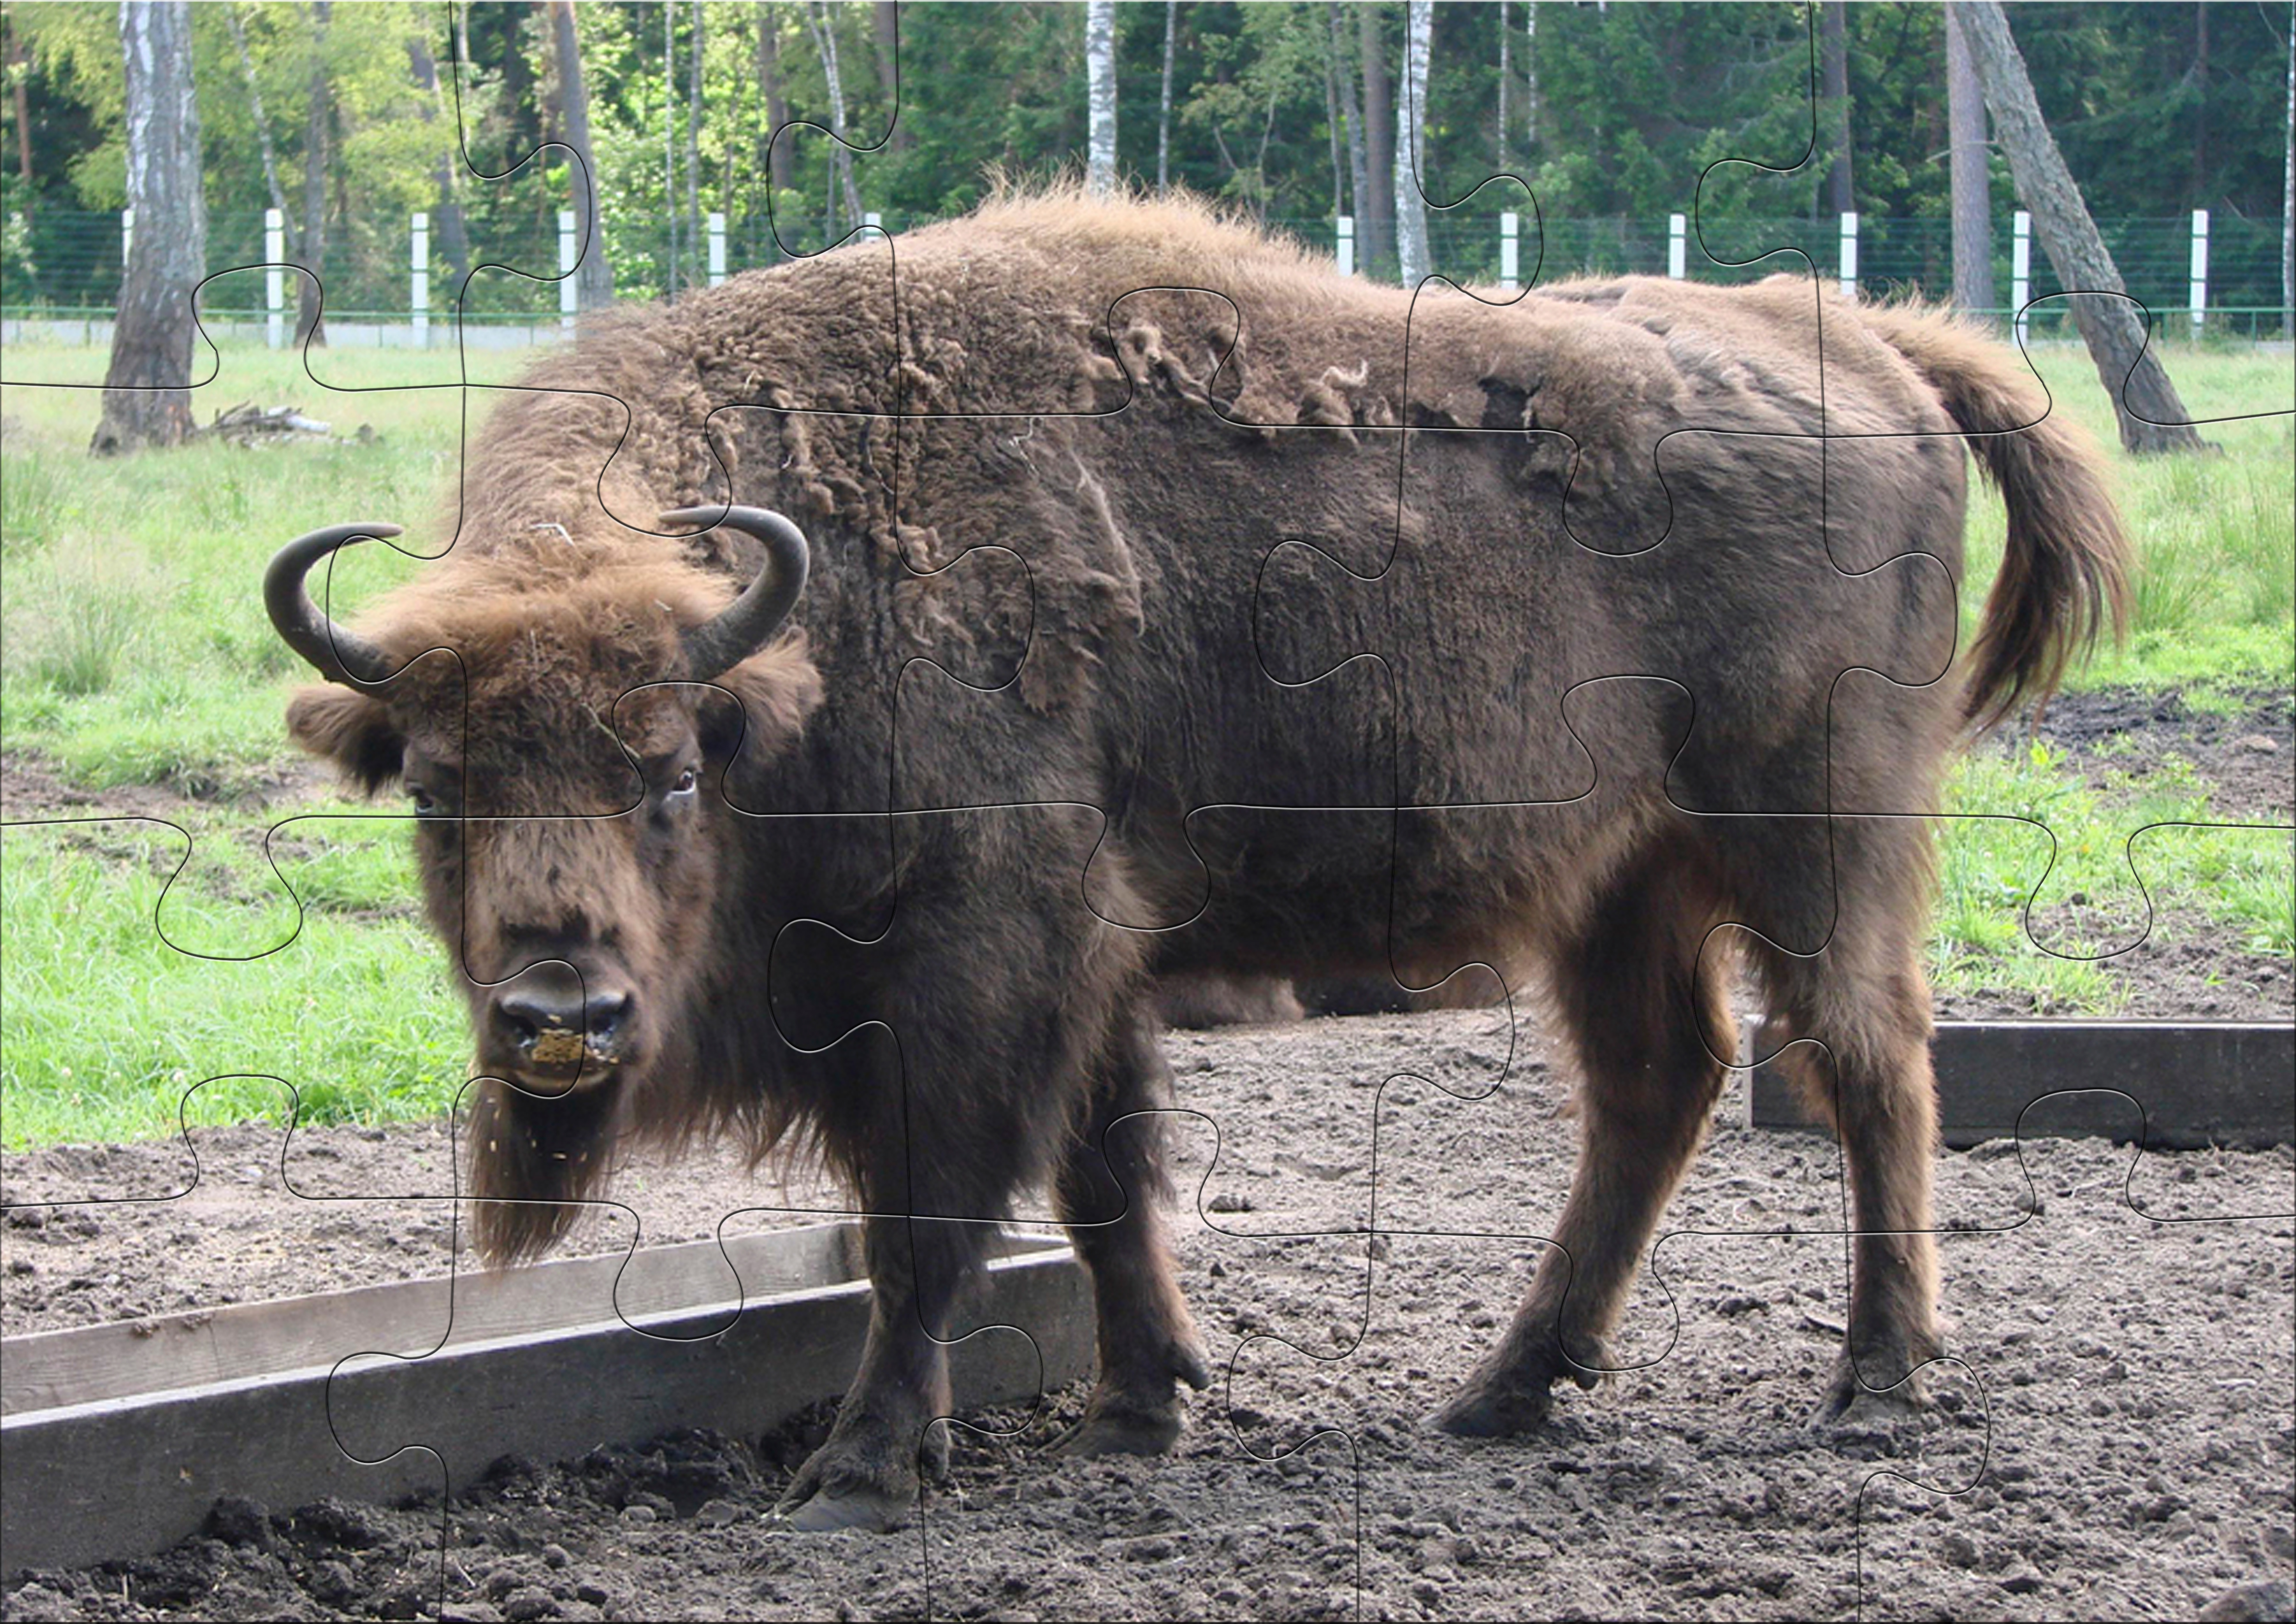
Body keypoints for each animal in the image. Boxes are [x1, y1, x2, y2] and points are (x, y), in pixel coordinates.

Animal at [273, 194, 2130, 1534]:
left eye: (669, 772)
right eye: (435, 786)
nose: (559, 1013)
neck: (806, 632)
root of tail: (1866, 341)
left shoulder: (983, 960)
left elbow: (930, 1212)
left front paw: (864, 1469)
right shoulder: (1091, 967)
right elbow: (1105, 1178)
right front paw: (1139, 1401)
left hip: (1812, 833)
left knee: (1867, 1057)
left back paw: (1878, 1381)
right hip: (1623, 877)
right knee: (1660, 1079)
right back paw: (1506, 1387)